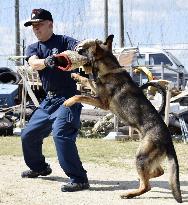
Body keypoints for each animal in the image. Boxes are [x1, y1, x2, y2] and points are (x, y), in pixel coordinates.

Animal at [63, 34, 182, 202]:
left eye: (84, 49)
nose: (76, 48)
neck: (109, 69)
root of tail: (168, 140)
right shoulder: (97, 91)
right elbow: (88, 81)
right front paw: (76, 76)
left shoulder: (102, 102)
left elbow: (81, 94)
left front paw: (69, 100)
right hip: (146, 157)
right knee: (158, 172)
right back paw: (143, 178)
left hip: (141, 156)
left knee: (147, 185)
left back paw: (130, 193)